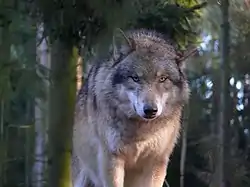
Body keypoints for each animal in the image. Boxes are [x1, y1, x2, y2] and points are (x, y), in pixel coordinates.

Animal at [72, 28, 193, 186]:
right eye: (135, 78)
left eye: (162, 79)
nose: (150, 110)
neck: (141, 132)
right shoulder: (111, 158)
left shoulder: (157, 161)